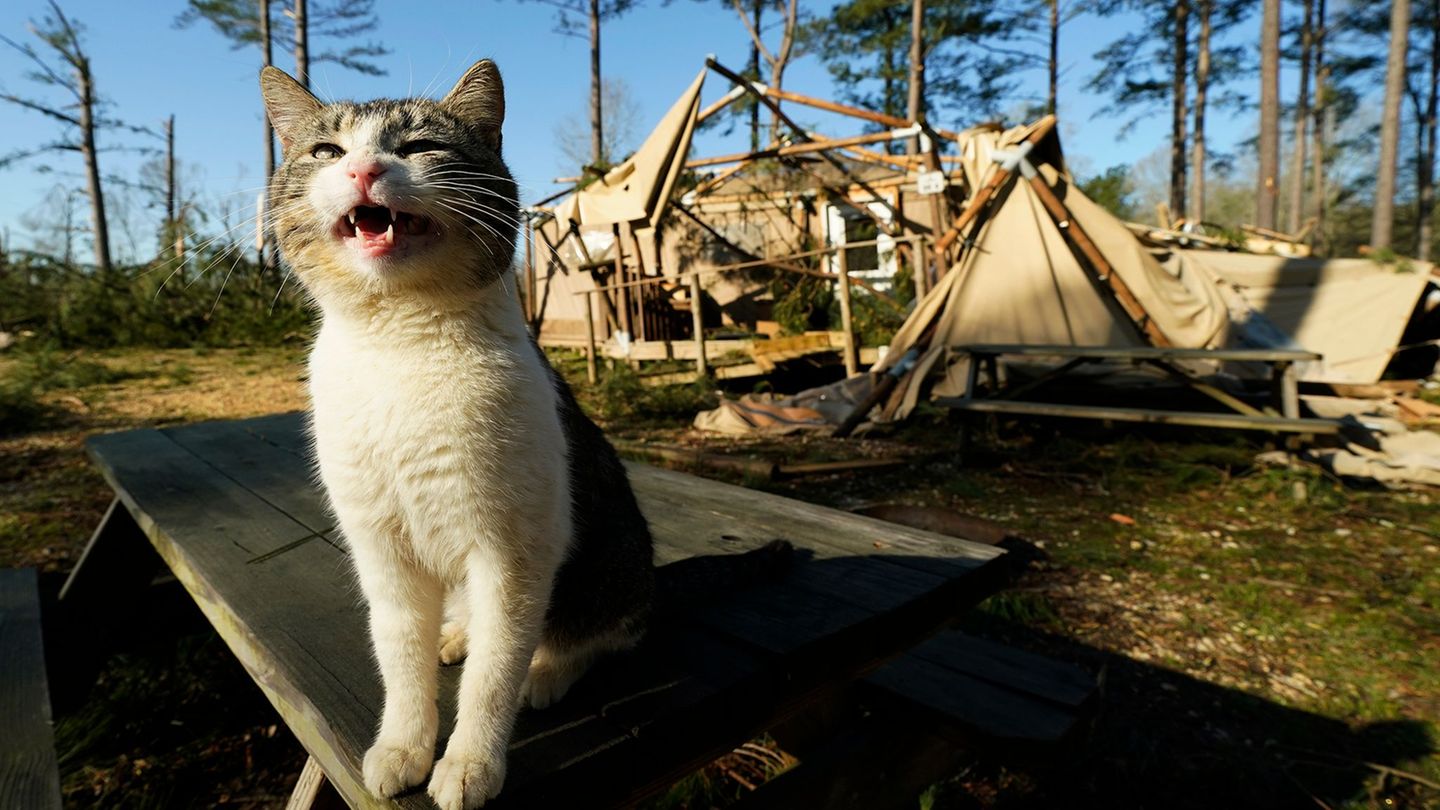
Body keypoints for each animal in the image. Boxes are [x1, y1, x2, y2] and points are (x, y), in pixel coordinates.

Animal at [262, 58, 656, 807]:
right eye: (326, 150)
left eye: (420, 147)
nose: (363, 168)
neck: (399, 346)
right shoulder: (380, 547)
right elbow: (399, 655)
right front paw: (404, 745)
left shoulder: (513, 552)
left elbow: (496, 673)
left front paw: (471, 762)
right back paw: (455, 635)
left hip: (611, 559)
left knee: (599, 633)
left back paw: (546, 672)